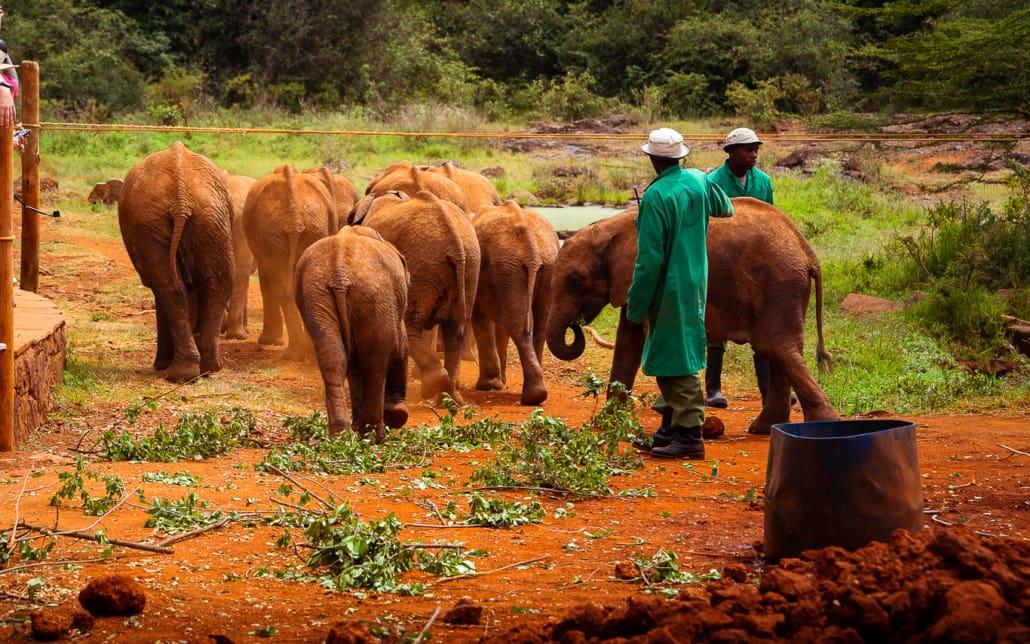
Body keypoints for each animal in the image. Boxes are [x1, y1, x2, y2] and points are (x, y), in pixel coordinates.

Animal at [118, 142, 235, 383]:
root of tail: (180, 198)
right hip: (210, 219)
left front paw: (161, 366)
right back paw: (206, 368)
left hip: (154, 223)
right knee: (217, 282)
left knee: (168, 287)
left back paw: (178, 373)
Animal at [295, 226, 409, 441]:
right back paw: (373, 435)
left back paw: (341, 434)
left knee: (334, 357)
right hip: (375, 296)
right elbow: (398, 346)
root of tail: (339, 272)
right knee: (375, 361)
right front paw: (397, 416)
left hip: (317, 294)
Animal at [350, 190, 480, 403]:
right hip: (469, 267)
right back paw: (449, 398)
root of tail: (456, 245)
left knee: (410, 326)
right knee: (454, 332)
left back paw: (433, 389)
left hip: (423, 268)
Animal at [472, 200, 559, 405]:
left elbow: (480, 318)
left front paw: (488, 386)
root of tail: (532, 252)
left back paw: (531, 397)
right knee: (539, 324)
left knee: (517, 324)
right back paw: (536, 395)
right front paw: (498, 383)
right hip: (543, 267)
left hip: (509, 267)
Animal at [546, 197, 839, 435]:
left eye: (575, 281)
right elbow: (628, 340)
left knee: (775, 347)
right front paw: (607, 423)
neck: (609, 228)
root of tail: (807, 251)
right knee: (778, 351)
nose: (576, 325)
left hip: (778, 285)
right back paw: (763, 428)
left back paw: (820, 426)